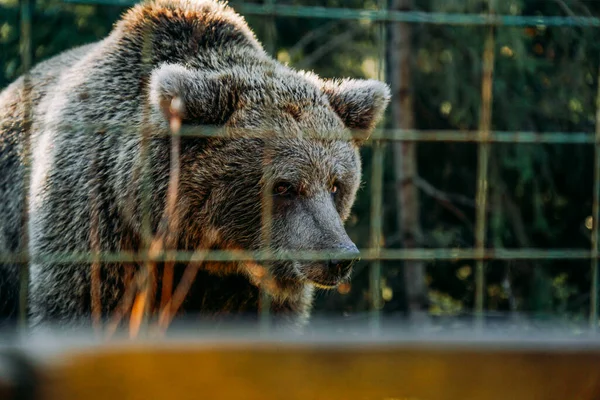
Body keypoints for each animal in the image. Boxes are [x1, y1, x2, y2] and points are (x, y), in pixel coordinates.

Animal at [0, 0, 390, 332]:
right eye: (284, 186)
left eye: (336, 184)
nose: (339, 257)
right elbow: (81, 305)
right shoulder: (96, 221)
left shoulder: (236, 286)